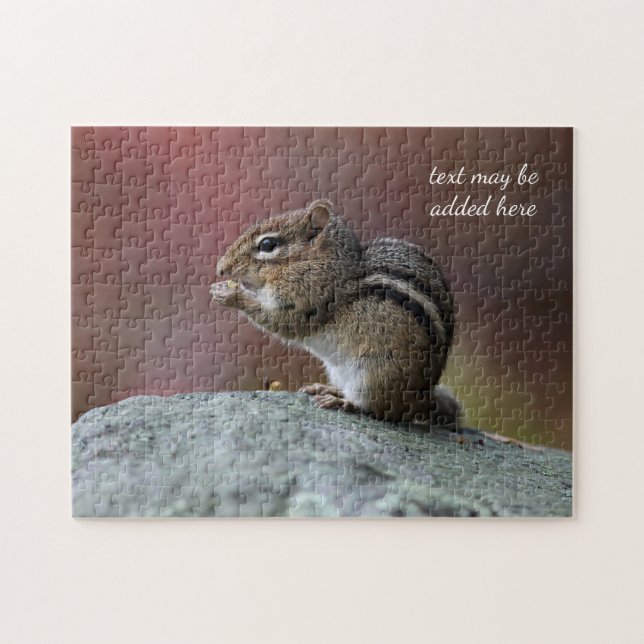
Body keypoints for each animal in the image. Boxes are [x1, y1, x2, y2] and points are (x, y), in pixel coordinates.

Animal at [211, 199, 460, 428]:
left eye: (267, 244)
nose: (221, 268)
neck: (323, 265)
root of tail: (420, 400)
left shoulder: (305, 302)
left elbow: (280, 321)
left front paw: (231, 294)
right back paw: (328, 389)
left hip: (374, 376)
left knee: (378, 409)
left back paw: (344, 402)